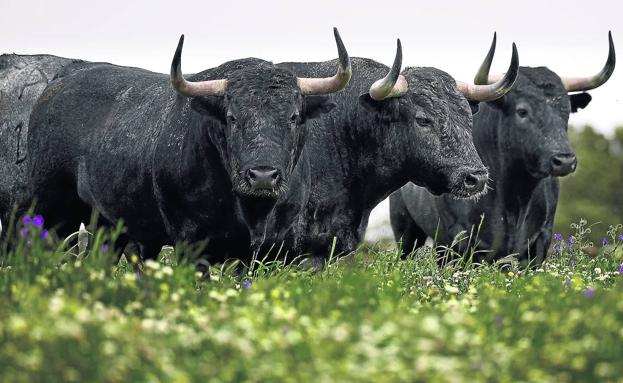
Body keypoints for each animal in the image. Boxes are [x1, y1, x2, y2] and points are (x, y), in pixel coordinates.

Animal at [392, 32, 616, 268]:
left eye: (566, 111)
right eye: (522, 111)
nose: (564, 161)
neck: (513, 199)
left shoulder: (540, 242)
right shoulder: (458, 242)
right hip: (406, 230)